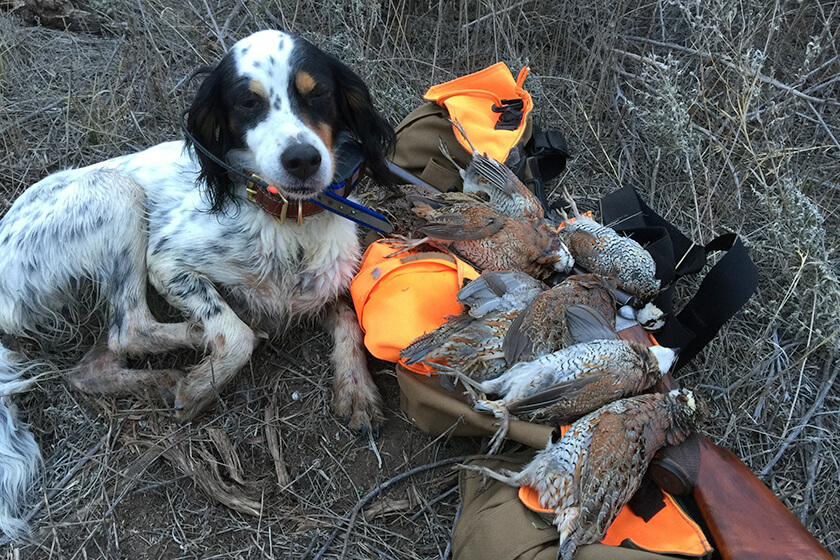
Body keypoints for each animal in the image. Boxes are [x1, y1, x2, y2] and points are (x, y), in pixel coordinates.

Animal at [0, 29, 396, 540]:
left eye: (319, 94)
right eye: (248, 103)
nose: (303, 159)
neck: (285, 220)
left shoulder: (323, 282)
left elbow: (350, 316)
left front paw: (357, 390)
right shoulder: (167, 262)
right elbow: (235, 334)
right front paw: (201, 386)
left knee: (90, 366)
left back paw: (161, 379)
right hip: (117, 194)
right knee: (129, 329)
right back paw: (189, 351)